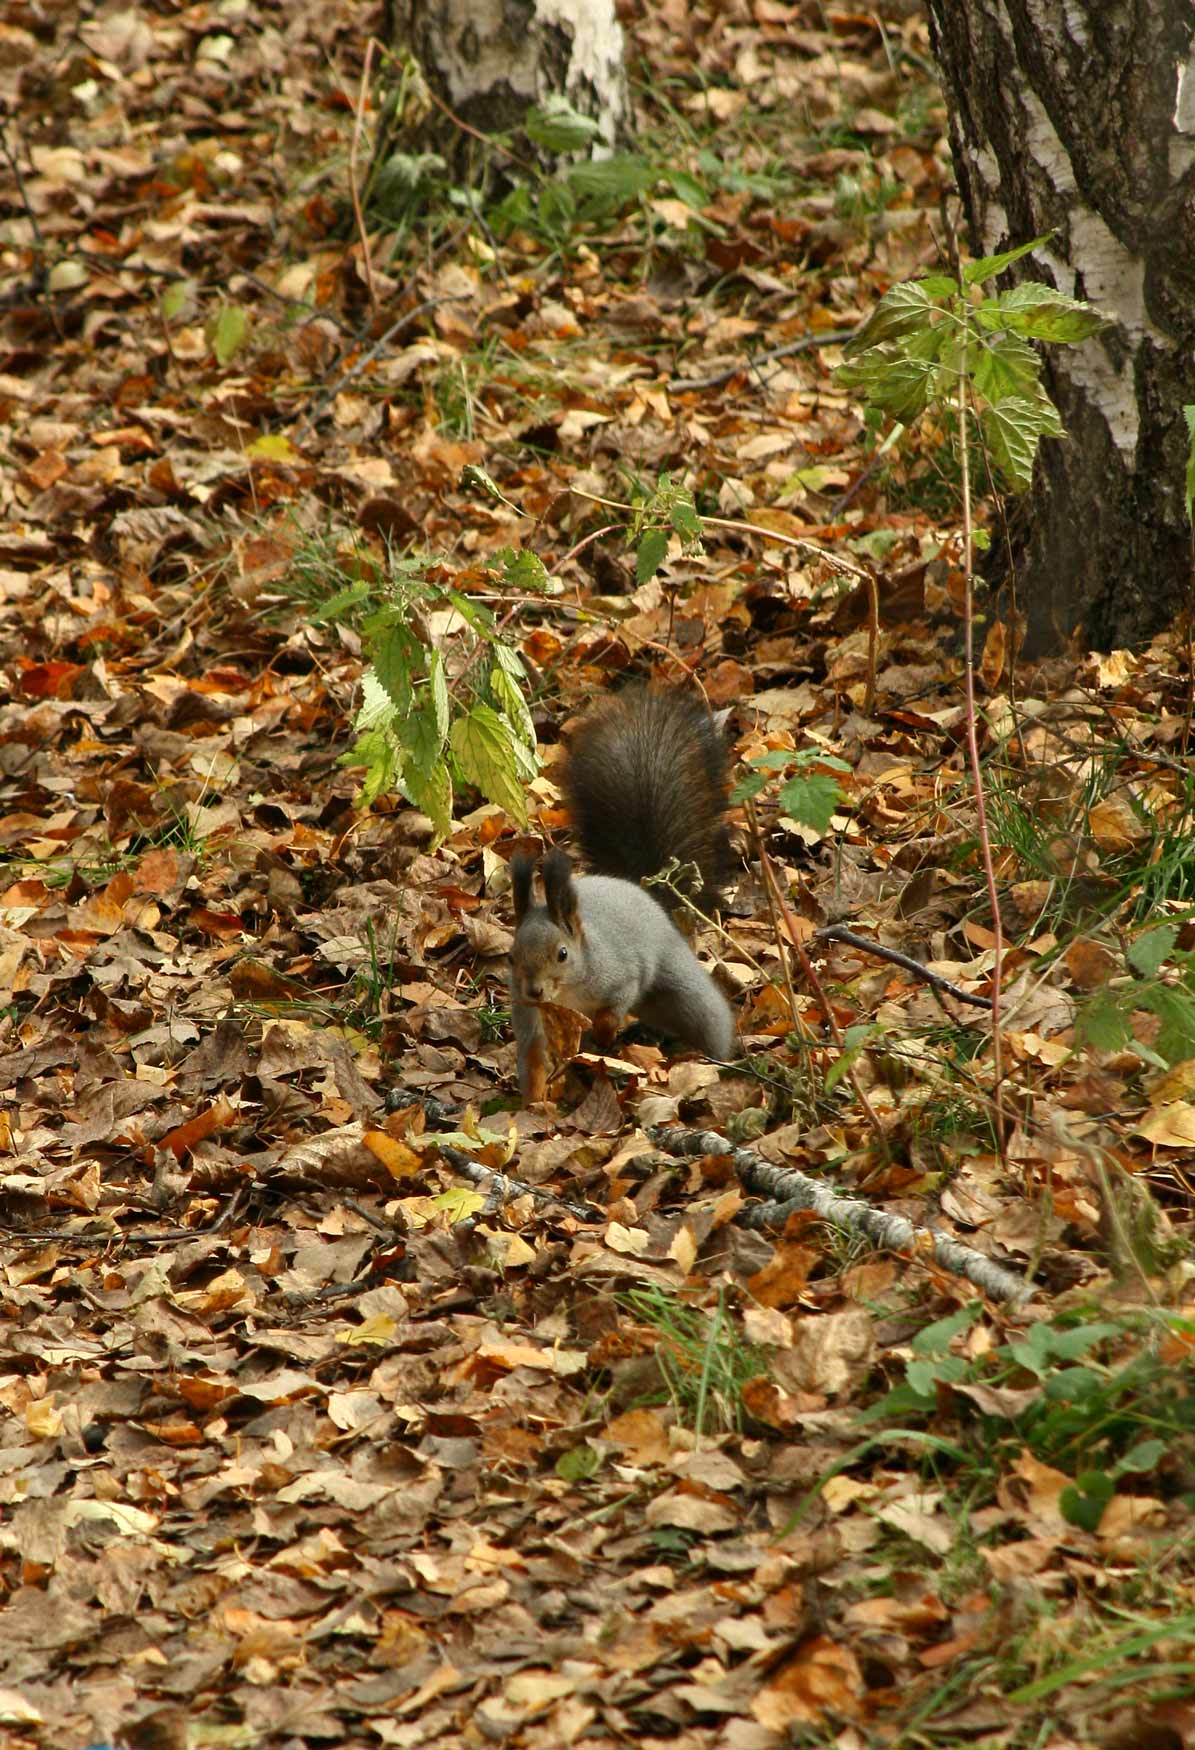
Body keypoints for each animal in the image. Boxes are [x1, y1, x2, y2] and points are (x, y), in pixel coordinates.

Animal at [510, 689, 734, 1099]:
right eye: (510, 957)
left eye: (562, 954)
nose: (533, 990)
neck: (567, 995)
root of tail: (642, 891)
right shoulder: (529, 1017)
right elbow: (532, 1058)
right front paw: (532, 1102)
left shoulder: (622, 973)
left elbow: (616, 1004)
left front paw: (602, 1032)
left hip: (682, 987)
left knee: (709, 1019)